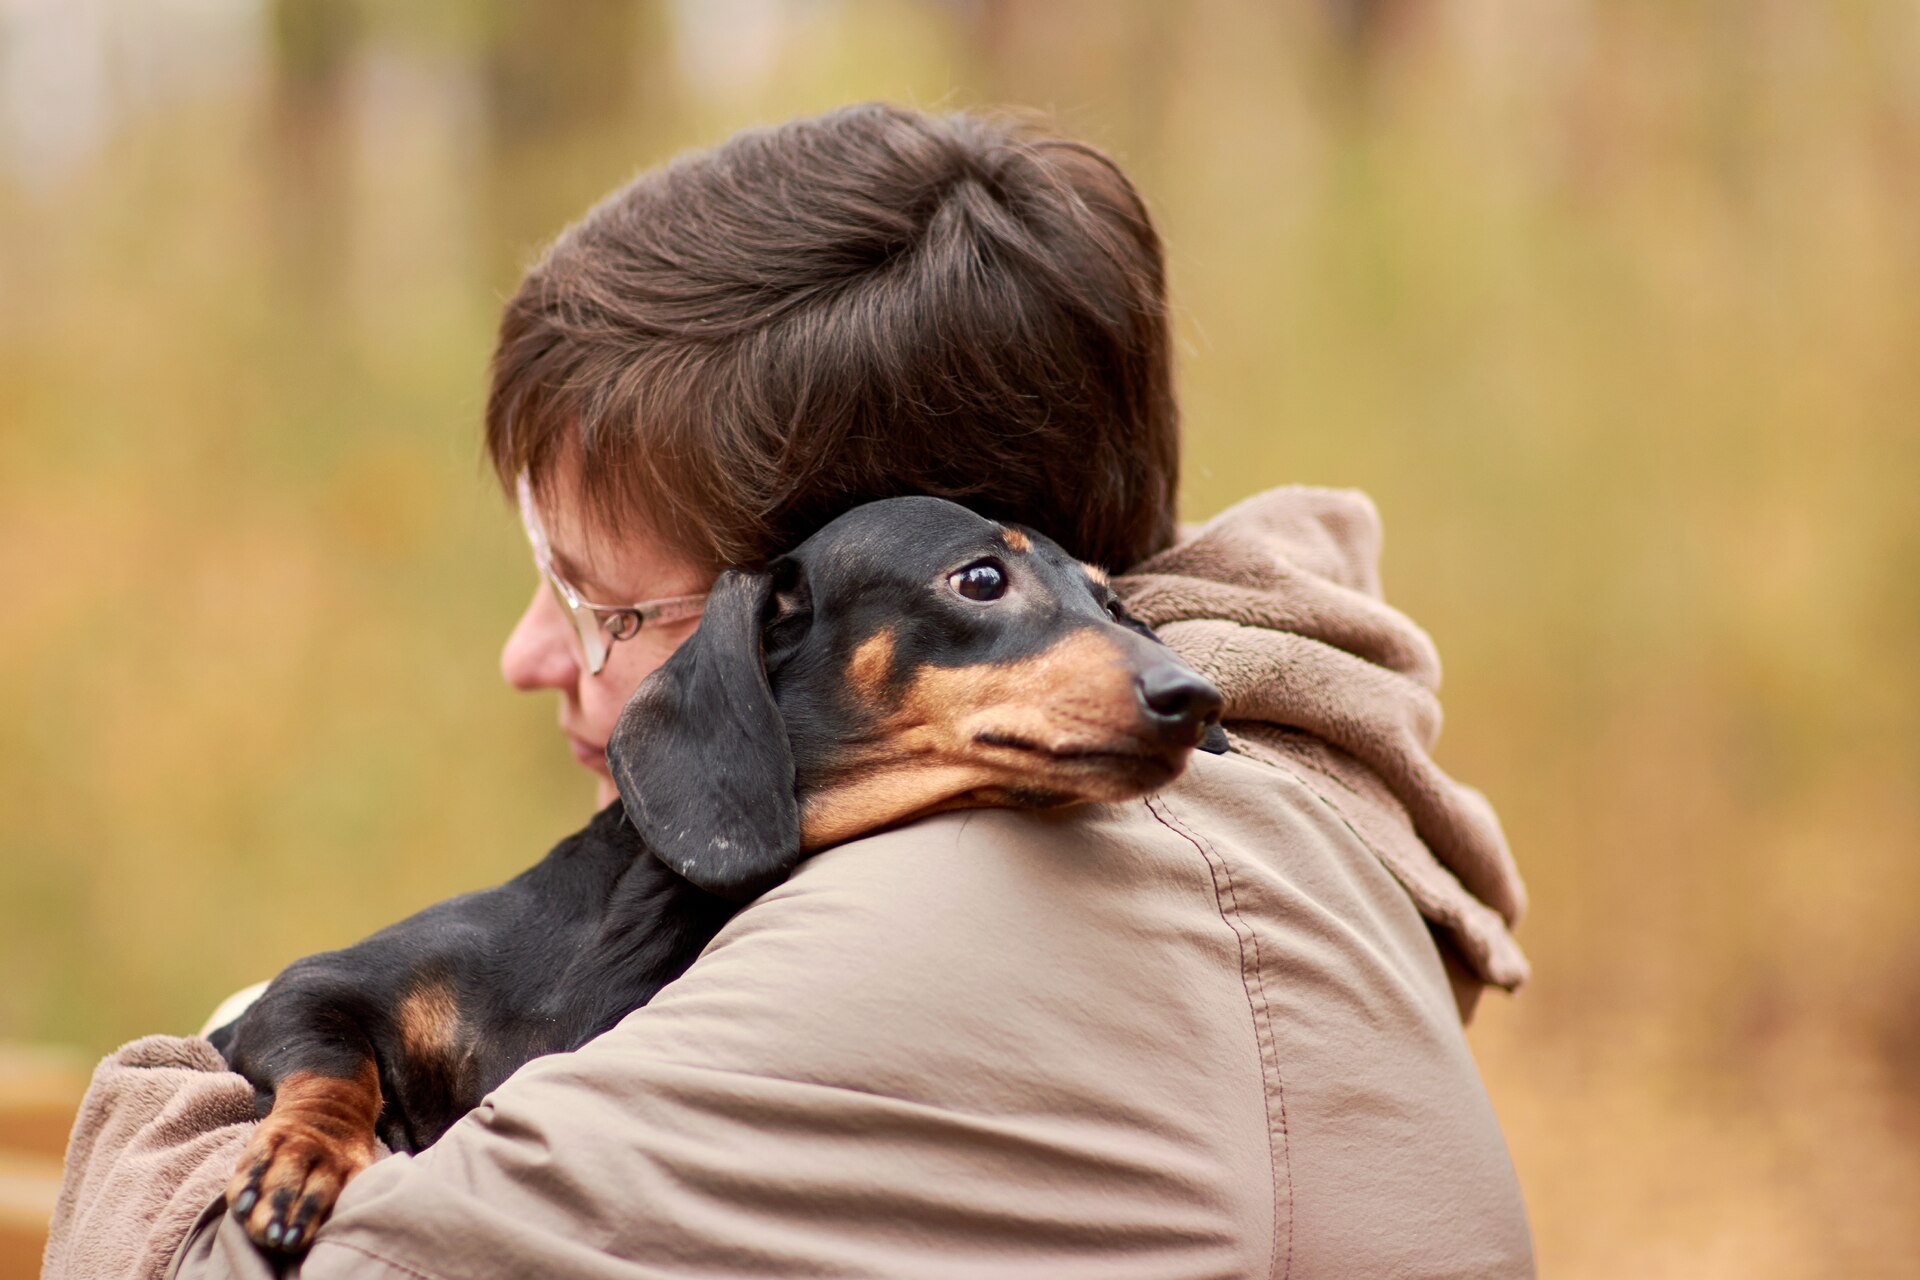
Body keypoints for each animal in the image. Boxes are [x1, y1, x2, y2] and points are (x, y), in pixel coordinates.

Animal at [202, 495, 1221, 1258]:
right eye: (980, 578)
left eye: (1111, 605)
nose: (1195, 697)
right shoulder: (306, 991)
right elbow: (336, 1066)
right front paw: (304, 1159)